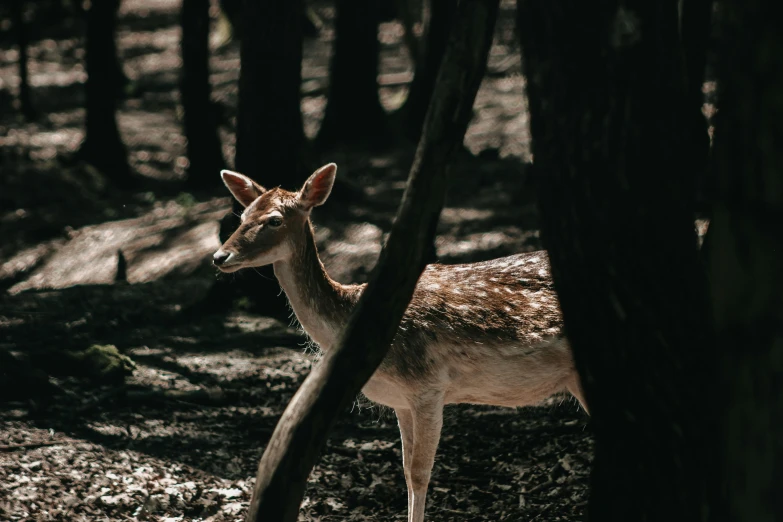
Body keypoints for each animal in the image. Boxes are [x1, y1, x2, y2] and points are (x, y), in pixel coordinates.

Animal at [213, 162, 588, 520]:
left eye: (274, 220)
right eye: (242, 217)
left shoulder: (428, 386)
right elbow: (406, 472)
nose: (219, 257)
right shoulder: (401, 401)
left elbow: (421, 473)